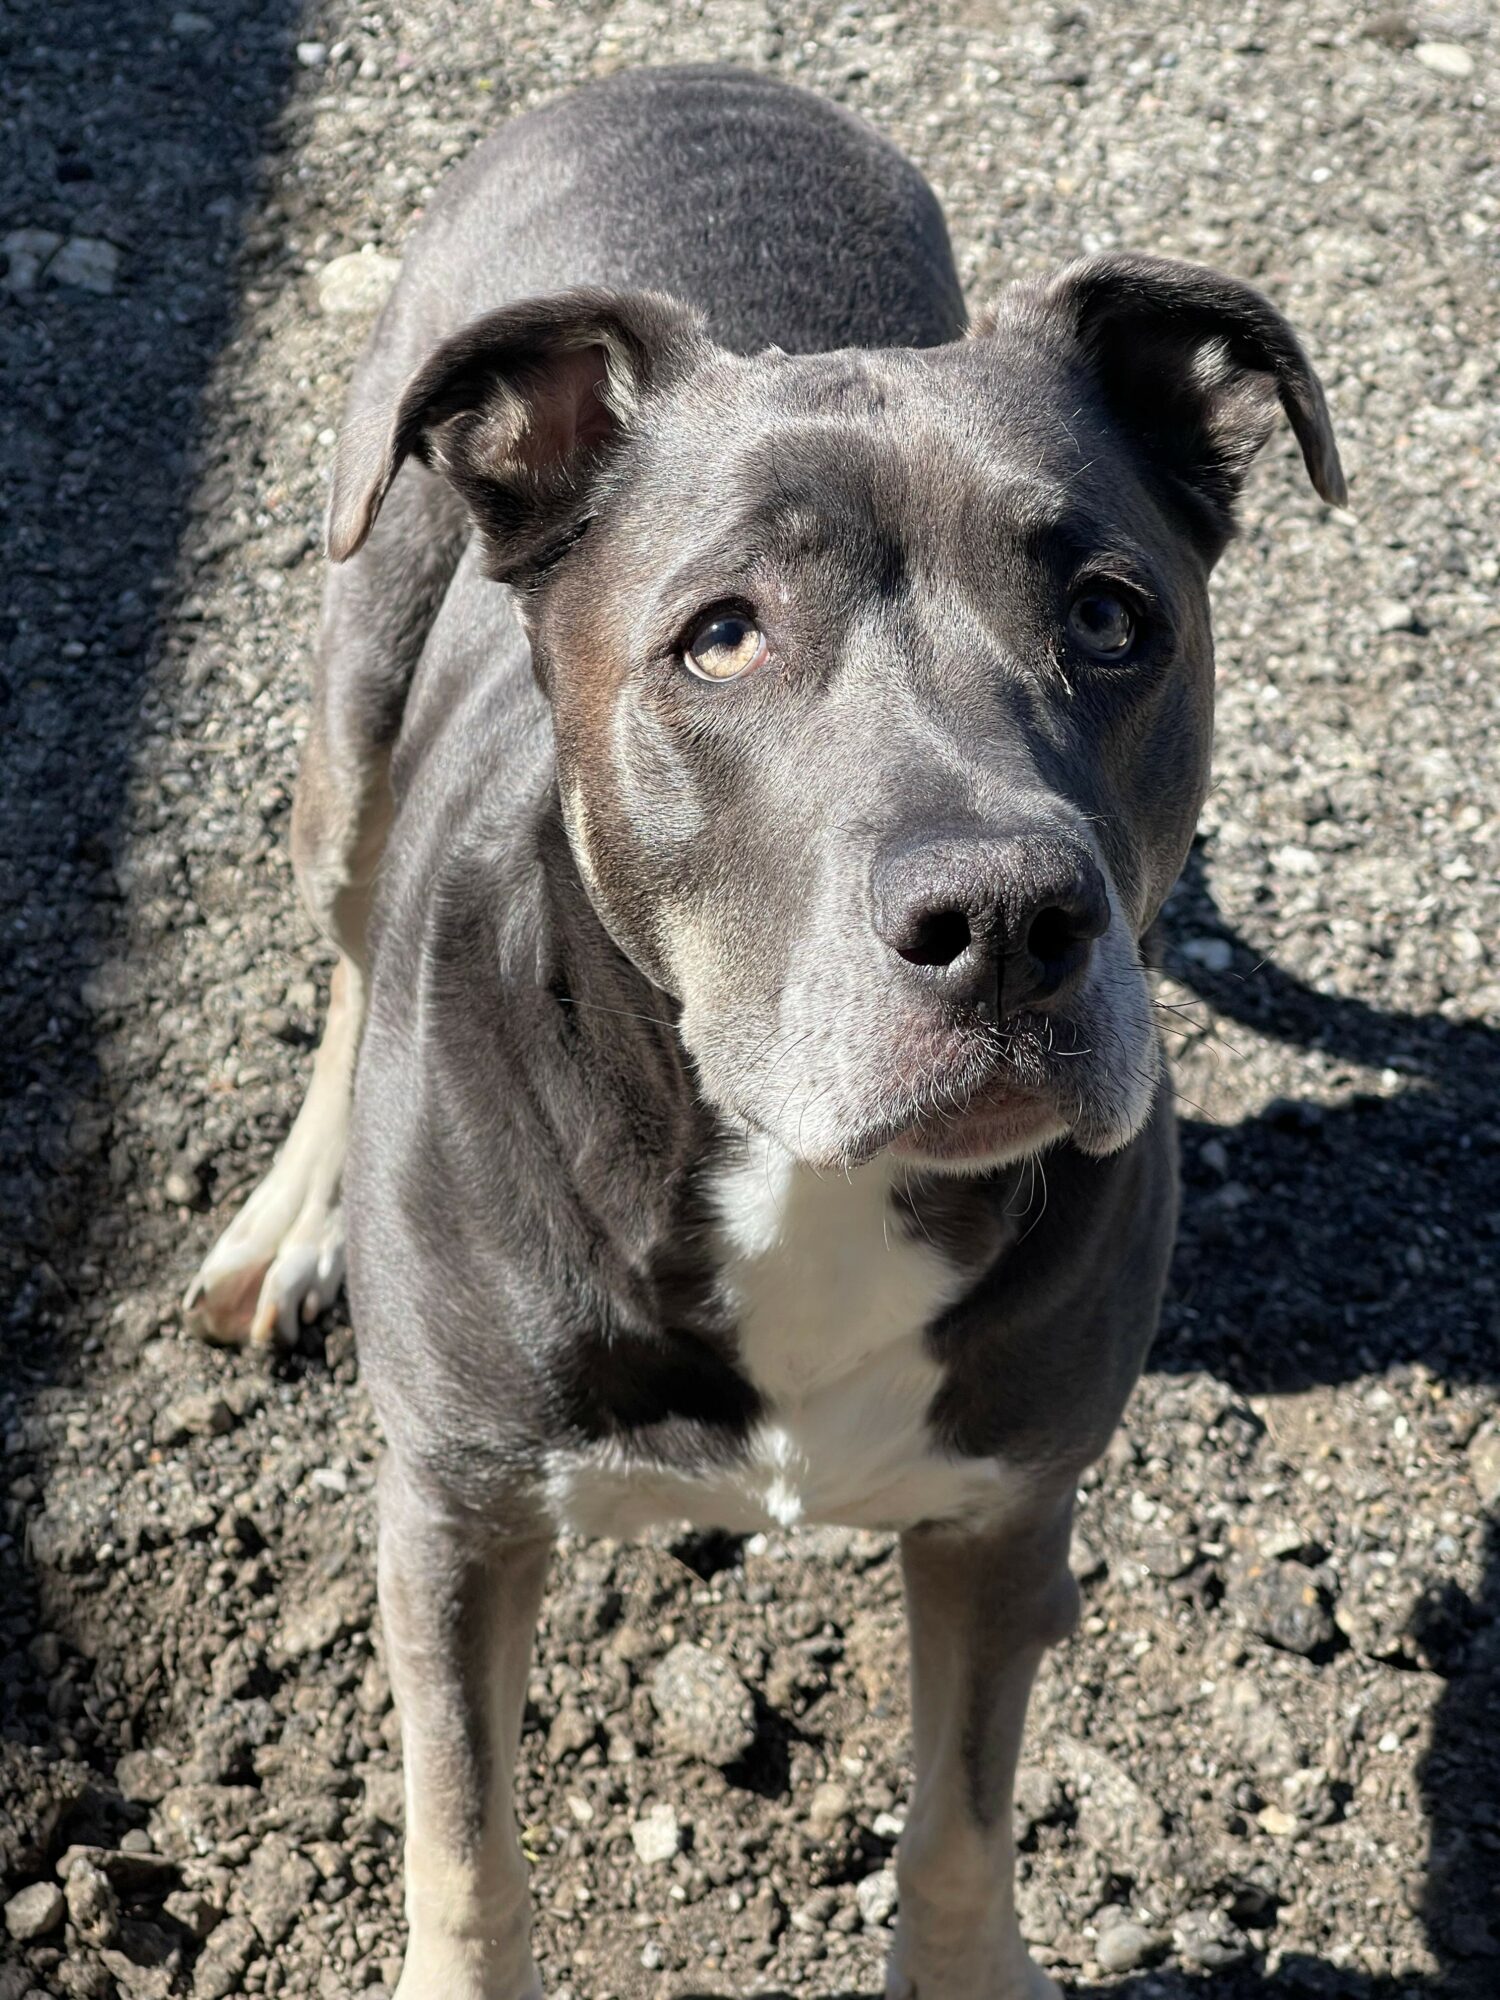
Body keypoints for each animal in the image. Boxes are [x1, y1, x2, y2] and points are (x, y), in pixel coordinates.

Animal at [184, 63, 1344, 2000]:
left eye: (1114, 617)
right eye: (720, 639)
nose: (1010, 924)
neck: (784, 1173)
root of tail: (695, 74)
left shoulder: (1006, 1519)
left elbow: (959, 1829)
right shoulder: (454, 1521)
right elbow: (465, 1855)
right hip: (356, 684)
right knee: (346, 949)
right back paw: (291, 1219)